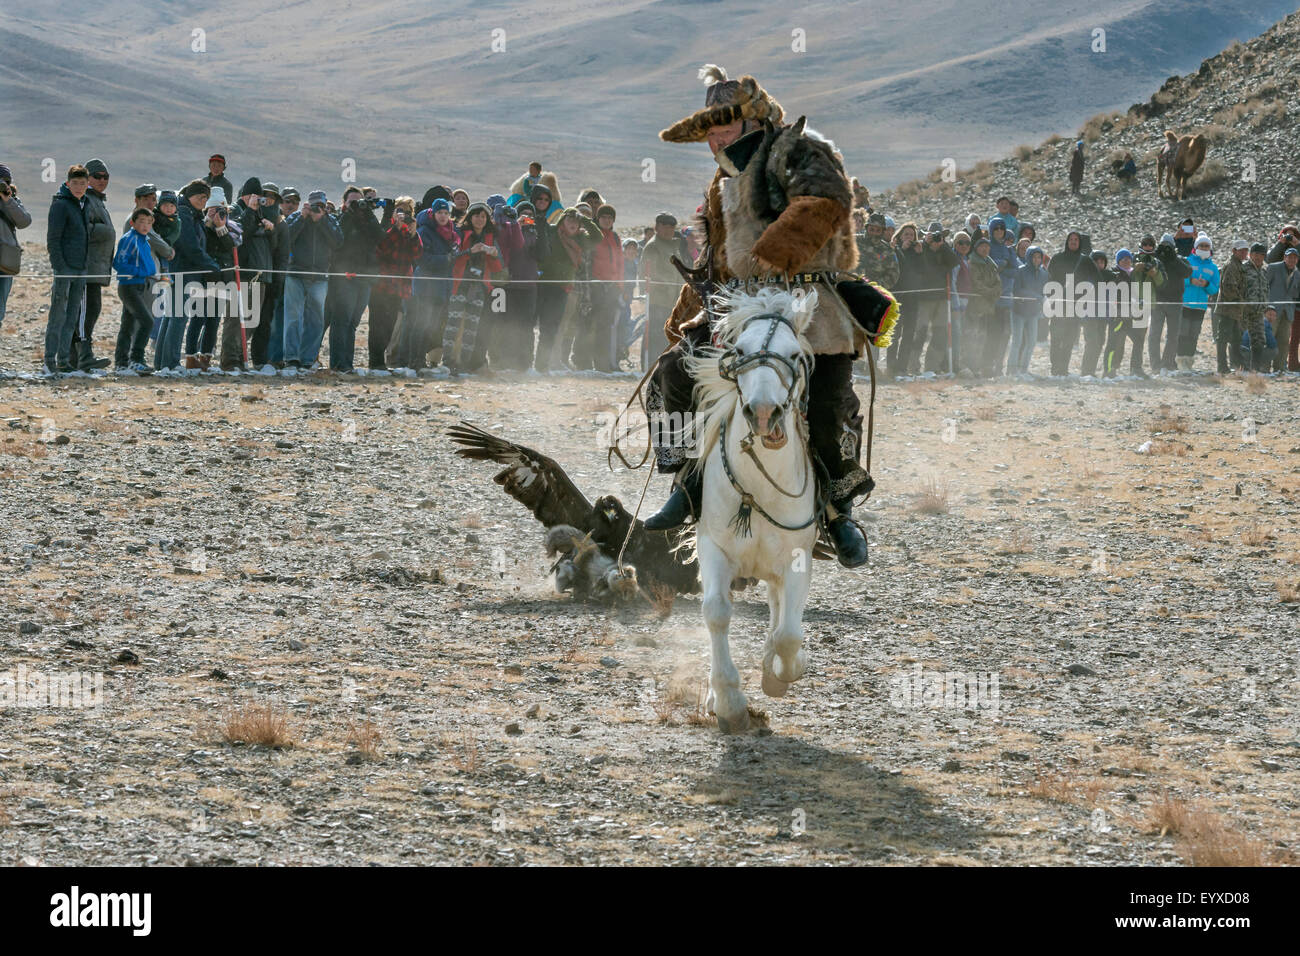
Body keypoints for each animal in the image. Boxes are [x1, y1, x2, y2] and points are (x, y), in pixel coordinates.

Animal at [686, 283, 816, 733]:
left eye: (794, 353)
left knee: (780, 610)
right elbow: (716, 612)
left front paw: (781, 673)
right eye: (739, 350)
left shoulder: (797, 556)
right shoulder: (712, 548)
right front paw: (727, 701)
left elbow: (789, 633)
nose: (762, 413)